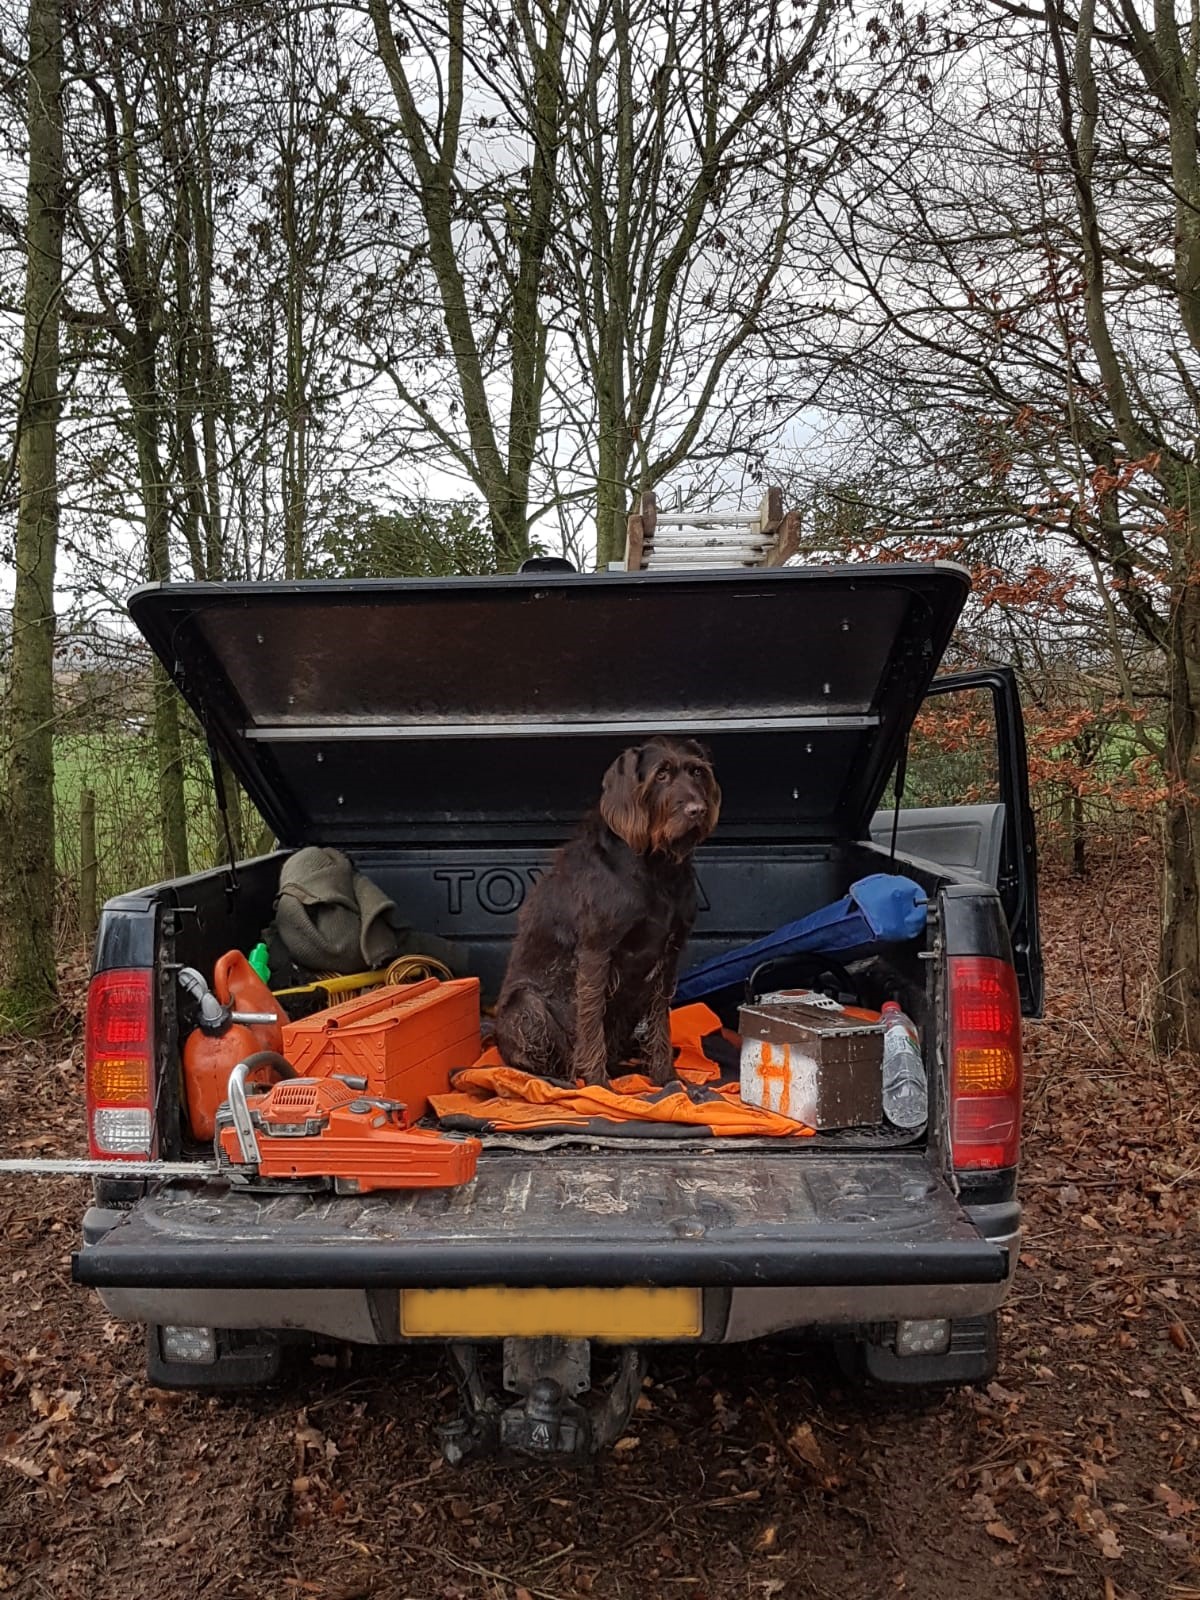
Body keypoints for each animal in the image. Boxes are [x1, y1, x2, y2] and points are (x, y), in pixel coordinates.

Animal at [489, 736, 720, 1088]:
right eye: (661, 775)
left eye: (697, 772)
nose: (697, 810)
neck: (656, 867)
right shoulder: (596, 952)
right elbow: (591, 1021)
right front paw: (599, 1085)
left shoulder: (669, 957)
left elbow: (660, 1024)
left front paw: (666, 1077)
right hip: (526, 1005)